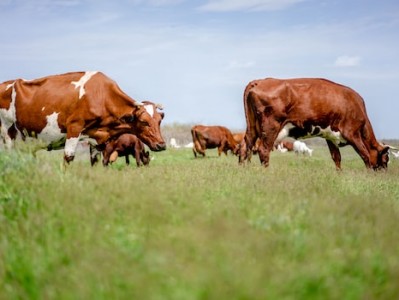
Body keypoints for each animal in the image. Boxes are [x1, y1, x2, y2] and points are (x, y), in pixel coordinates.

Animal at [0, 70, 166, 164]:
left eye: (159, 121)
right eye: (144, 122)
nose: (162, 145)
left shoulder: (97, 139)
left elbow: (96, 161)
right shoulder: (74, 127)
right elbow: (68, 158)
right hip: (8, 131)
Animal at [241, 77, 390, 170]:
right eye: (385, 160)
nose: (383, 174)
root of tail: (259, 81)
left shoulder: (330, 136)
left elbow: (337, 158)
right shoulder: (352, 133)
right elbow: (365, 155)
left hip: (252, 126)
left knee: (246, 145)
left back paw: (245, 169)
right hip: (270, 127)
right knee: (263, 149)